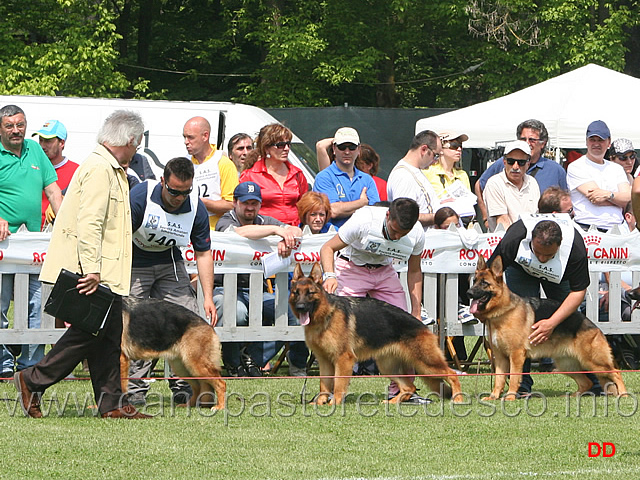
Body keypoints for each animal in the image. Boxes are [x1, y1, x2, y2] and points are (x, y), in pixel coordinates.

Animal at [288, 262, 460, 404]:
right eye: (296, 292)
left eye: (310, 293)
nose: (300, 307)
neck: (325, 315)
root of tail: (422, 325)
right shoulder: (324, 361)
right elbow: (323, 385)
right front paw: (319, 403)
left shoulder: (343, 359)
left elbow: (338, 385)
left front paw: (334, 403)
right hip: (387, 367)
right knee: (409, 387)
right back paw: (393, 402)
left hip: (426, 363)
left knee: (453, 374)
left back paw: (458, 399)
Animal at [468, 256, 628, 400]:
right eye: (474, 281)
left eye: (484, 283)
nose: (468, 293)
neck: (502, 311)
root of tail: (595, 327)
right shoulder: (500, 357)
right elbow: (499, 379)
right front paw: (494, 396)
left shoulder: (516, 355)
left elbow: (513, 377)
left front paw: (510, 397)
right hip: (567, 365)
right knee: (586, 382)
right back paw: (572, 396)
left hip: (593, 362)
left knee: (616, 373)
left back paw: (624, 394)